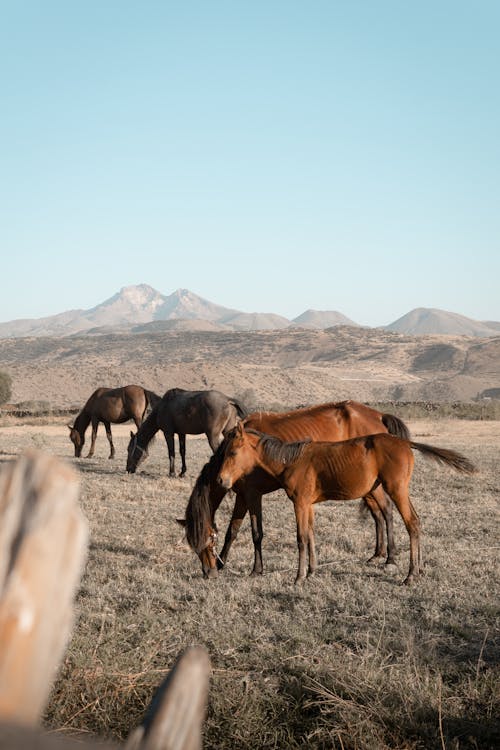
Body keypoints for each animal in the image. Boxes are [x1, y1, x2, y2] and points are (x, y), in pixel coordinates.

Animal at [179, 402, 410, 580]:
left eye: (207, 540)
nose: (207, 572)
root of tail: (379, 415)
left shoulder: (252, 495)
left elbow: (256, 533)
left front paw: (256, 569)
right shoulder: (242, 496)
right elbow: (232, 531)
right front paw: (222, 564)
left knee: (387, 510)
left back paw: (390, 558)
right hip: (367, 487)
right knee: (378, 514)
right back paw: (377, 554)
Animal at [217, 424, 474, 588]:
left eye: (233, 451)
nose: (221, 480)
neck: (292, 460)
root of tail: (405, 442)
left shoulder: (300, 503)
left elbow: (301, 538)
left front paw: (298, 578)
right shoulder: (309, 504)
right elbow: (311, 534)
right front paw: (312, 571)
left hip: (396, 489)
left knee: (411, 523)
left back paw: (410, 576)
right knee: (417, 522)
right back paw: (418, 571)